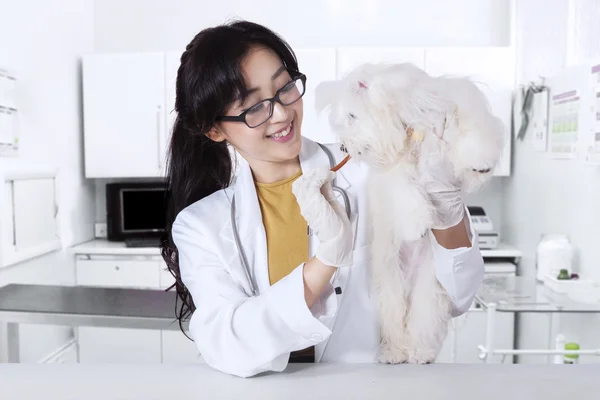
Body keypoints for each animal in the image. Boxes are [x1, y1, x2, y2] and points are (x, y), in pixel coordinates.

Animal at [314, 61, 506, 362]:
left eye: (352, 115)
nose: (344, 146)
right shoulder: (395, 170)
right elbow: (404, 188)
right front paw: (416, 225)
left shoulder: (452, 106)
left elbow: (471, 130)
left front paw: (480, 163)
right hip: (391, 282)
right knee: (394, 320)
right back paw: (394, 352)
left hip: (430, 286)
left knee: (424, 321)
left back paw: (419, 352)